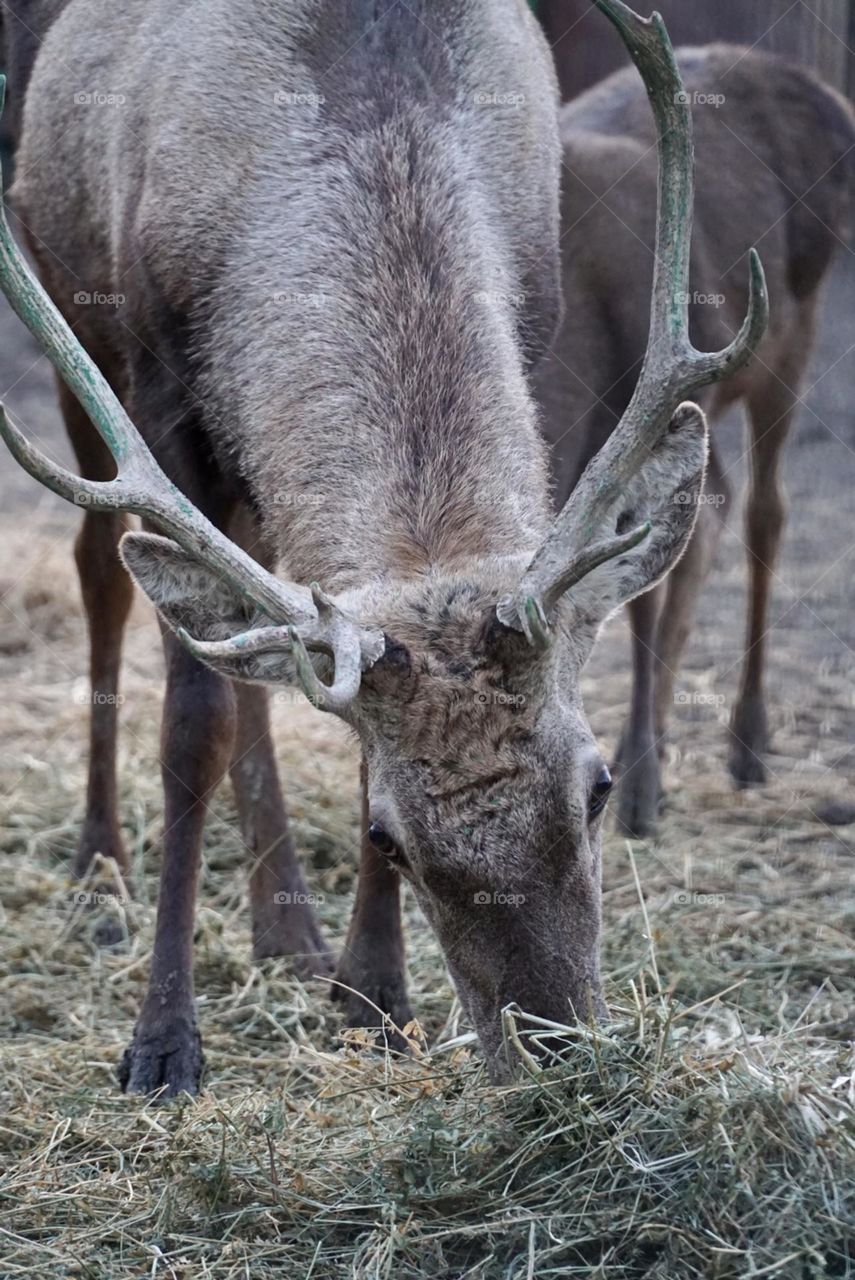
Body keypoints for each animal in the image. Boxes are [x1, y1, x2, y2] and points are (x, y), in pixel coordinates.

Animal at [0, 0, 766, 1096]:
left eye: (598, 787)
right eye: (388, 839)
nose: (557, 1052)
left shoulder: (536, 321)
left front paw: (375, 992)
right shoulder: (156, 380)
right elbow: (192, 725)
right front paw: (162, 1040)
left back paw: (286, 930)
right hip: (78, 335)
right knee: (105, 576)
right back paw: (100, 872)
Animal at [534, 45, 855, 837]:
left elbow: (645, 599)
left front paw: (640, 791)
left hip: (792, 331)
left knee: (765, 511)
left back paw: (748, 743)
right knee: (728, 506)